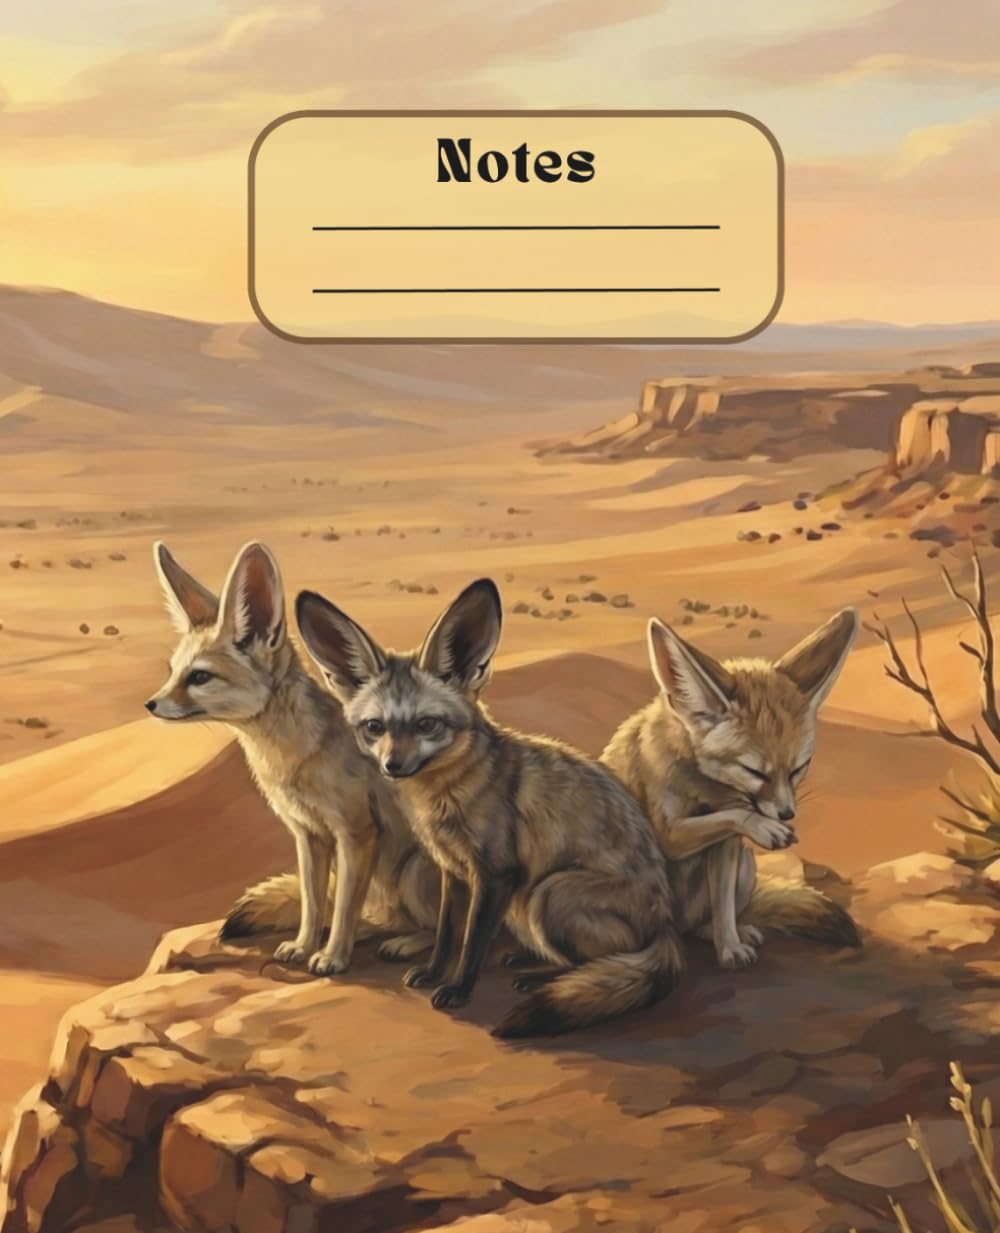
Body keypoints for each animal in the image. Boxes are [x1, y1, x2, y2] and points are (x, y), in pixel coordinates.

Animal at [145, 540, 438, 973]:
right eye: (171, 671)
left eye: (199, 677)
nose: (150, 704)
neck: (296, 757)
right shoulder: (308, 834)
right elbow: (314, 904)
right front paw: (304, 946)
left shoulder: (355, 834)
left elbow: (342, 906)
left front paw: (332, 957)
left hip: (415, 870)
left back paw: (407, 943)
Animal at [294, 577, 687, 1038]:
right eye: (375, 727)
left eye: (427, 724)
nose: (392, 766)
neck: (444, 800)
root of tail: (666, 925)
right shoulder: (452, 870)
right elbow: (447, 933)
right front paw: (432, 972)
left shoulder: (497, 873)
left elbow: (472, 943)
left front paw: (456, 990)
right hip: (526, 905)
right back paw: (529, 959)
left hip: (546, 894)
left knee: (598, 960)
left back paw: (540, 976)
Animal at [602, 610, 861, 970]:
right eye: (754, 771)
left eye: (798, 769)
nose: (787, 813)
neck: (705, 789)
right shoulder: (665, 833)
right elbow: (735, 816)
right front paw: (763, 826)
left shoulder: (726, 848)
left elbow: (723, 905)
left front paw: (729, 946)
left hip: (745, 868)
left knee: (702, 924)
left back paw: (730, 931)